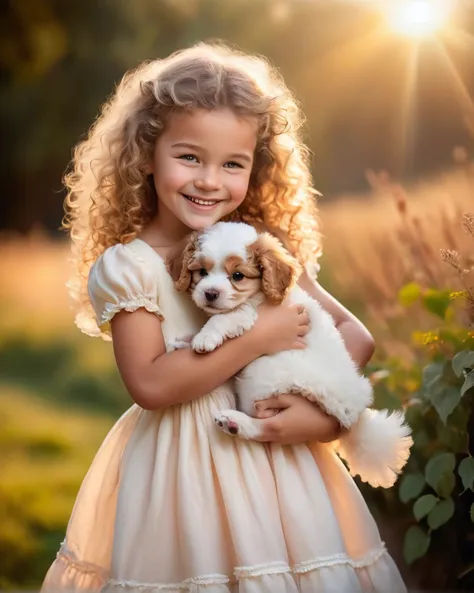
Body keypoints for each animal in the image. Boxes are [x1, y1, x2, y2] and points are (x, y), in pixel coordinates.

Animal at [167, 222, 412, 486]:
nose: (210, 293)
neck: (260, 296)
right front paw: (181, 342)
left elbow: (224, 318)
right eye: (202, 271)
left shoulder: (251, 314)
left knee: (265, 427)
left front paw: (204, 338)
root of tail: (353, 415)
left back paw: (235, 423)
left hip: (263, 377)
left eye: (237, 276)